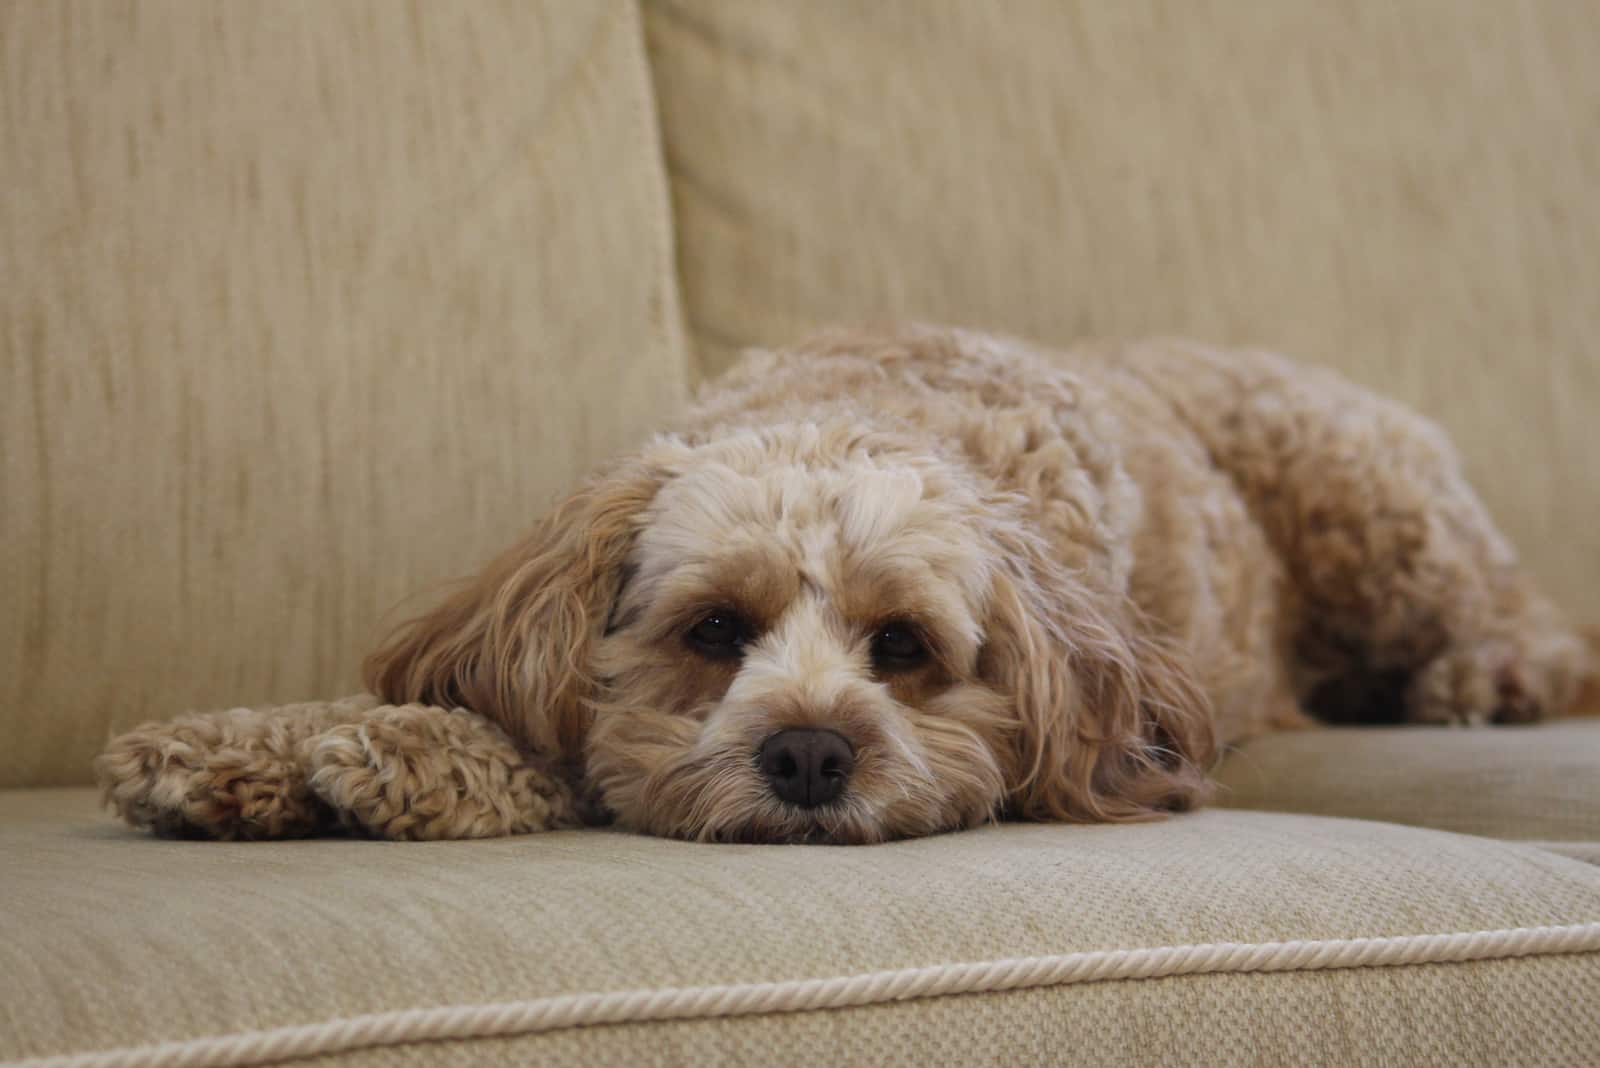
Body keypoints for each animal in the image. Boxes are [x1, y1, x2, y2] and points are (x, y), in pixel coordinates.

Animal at [93, 326, 1593, 844]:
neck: (861, 401)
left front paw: (397, 763)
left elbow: (569, 762)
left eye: (908, 647)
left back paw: (1489, 676)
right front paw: (236, 751)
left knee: (1528, 623)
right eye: (715, 629)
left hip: (1374, 500)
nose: (811, 755)